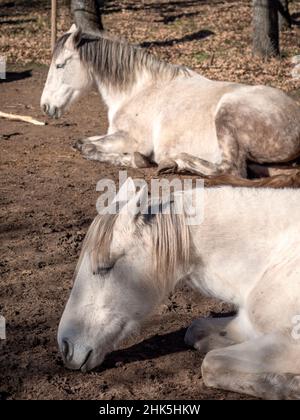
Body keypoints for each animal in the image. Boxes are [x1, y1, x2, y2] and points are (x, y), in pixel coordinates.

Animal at [41, 24, 300, 179]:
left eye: (60, 65)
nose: (45, 106)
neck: (137, 90)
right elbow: (82, 142)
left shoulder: (131, 139)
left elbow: (88, 147)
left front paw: (138, 160)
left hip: (227, 114)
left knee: (231, 171)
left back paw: (175, 162)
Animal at [59, 182, 300, 398]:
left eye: (104, 267)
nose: (65, 347)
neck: (275, 257)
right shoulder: (246, 324)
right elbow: (197, 331)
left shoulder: (290, 343)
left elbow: (212, 364)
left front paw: (291, 387)